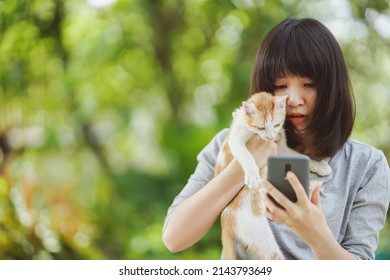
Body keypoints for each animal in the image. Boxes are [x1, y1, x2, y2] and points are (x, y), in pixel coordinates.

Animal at [215, 92, 330, 260]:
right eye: (261, 127)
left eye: (276, 124)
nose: (269, 137)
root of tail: (225, 218)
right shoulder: (235, 137)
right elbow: (245, 154)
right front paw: (252, 174)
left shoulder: (280, 142)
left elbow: (297, 154)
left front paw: (320, 165)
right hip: (259, 235)